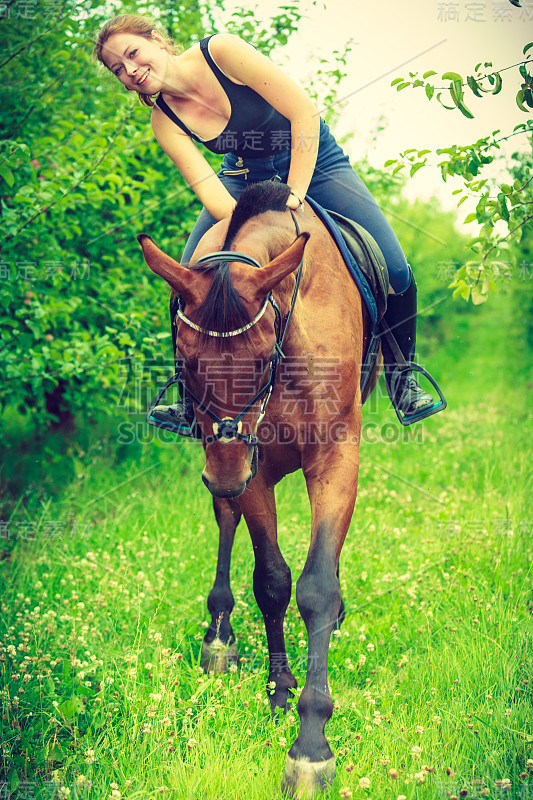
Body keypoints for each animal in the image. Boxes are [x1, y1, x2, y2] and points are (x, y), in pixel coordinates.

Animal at [139, 181, 368, 792]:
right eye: (186, 361)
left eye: (262, 357)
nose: (223, 476)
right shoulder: (252, 470)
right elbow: (273, 580)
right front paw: (281, 691)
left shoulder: (335, 456)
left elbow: (317, 586)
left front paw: (311, 745)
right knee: (227, 521)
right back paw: (219, 635)